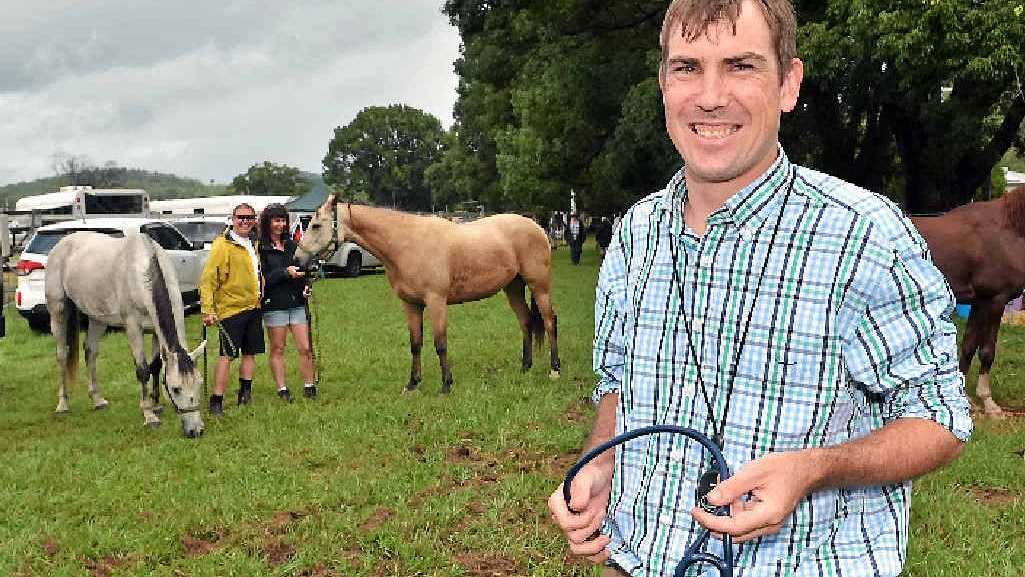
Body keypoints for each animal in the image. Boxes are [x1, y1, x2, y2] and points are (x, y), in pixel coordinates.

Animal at [46, 232, 208, 436]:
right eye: (176, 389)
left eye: (200, 383)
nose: (196, 430)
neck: (142, 270)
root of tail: (62, 243)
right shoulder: (133, 328)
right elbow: (143, 370)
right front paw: (149, 415)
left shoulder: (156, 331)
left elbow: (155, 366)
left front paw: (156, 406)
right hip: (58, 311)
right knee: (62, 355)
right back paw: (62, 405)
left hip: (97, 318)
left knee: (90, 351)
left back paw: (97, 400)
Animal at [293, 196, 561, 395]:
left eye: (316, 225)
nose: (297, 260)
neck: (407, 243)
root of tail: (536, 226)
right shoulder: (411, 305)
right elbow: (416, 344)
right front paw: (413, 383)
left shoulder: (436, 302)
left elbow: (440, 343)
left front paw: (446, 384)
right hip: (513, 287)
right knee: (525, 321)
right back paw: (525, 367)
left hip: (539, 285)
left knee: (549, 321)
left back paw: (555, 370)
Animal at [914, 187, 1025, 418]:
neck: (1009, 230)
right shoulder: (995, 300)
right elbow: (987, 351)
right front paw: (989, 404)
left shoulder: (979, 302)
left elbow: (968, 347)